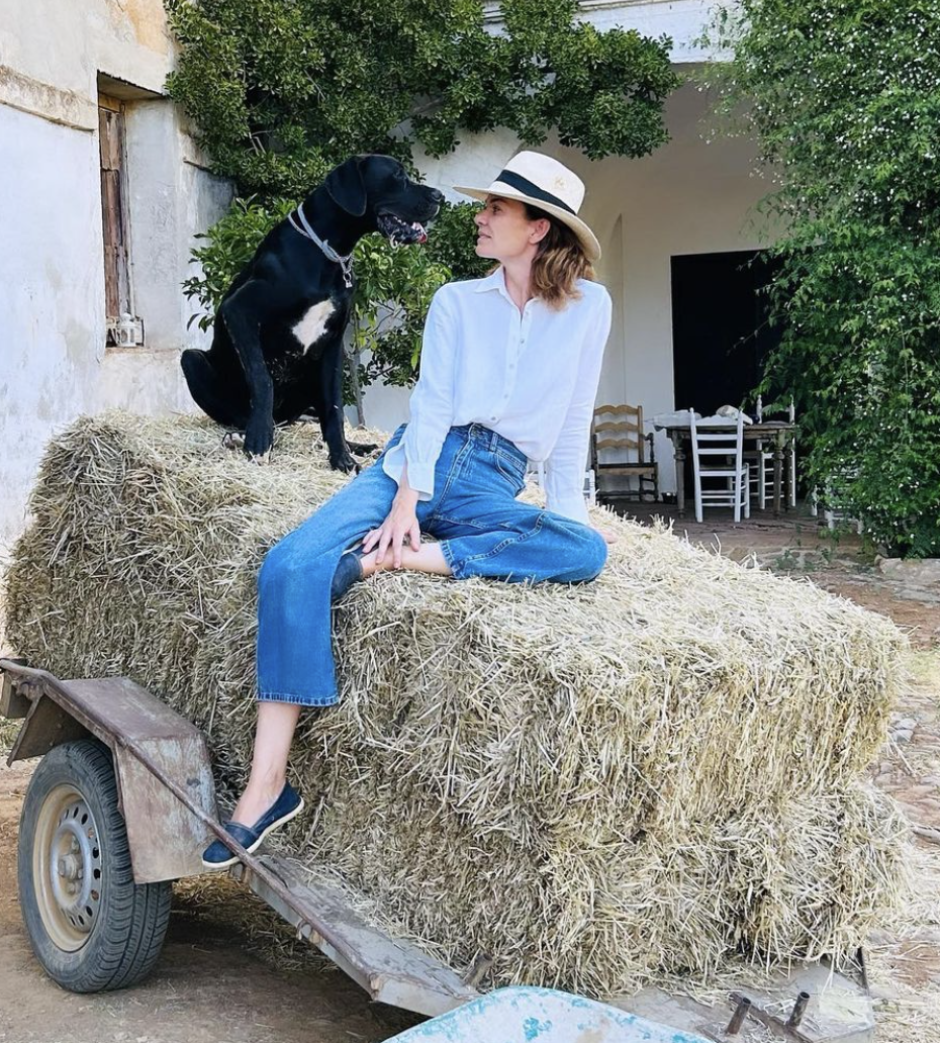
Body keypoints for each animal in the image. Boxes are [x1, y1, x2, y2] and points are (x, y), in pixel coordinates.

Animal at [184, 152, 446, 467]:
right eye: (397, 175)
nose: (440, 196)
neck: (326, 254)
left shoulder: (333, 343)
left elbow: (334, 408)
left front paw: (342, 457)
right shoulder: (238, 310)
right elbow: (262, 379)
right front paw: (259, 439)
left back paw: (360, 446)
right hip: (192, 360)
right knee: (240, 412)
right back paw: (241, 434)